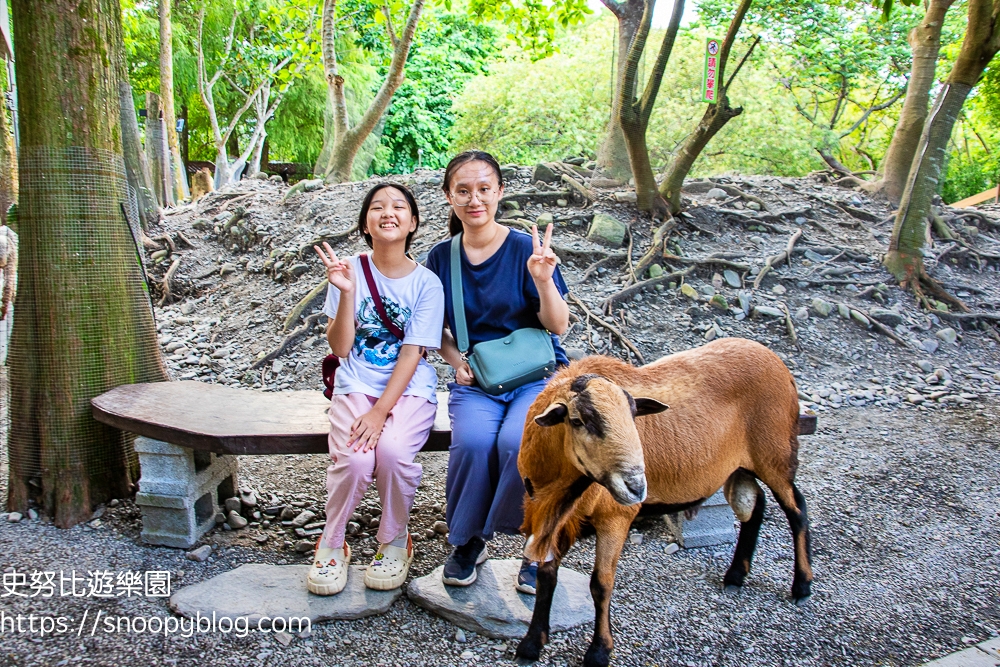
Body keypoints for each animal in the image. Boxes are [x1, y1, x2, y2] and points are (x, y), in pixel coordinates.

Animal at [516, 340, 812, 667]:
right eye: (578, 421)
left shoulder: (615, 517)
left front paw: (599, 652)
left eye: (634, 416)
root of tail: (771, 357)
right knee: (754, 506)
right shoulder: (558, 517)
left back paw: (801, 586)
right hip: (740, 466)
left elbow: (601, 584)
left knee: (797, 510)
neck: (560, 491)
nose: (636, 486)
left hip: (776, 454)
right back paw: (736, 576)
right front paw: (531, 643)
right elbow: (547, 575)